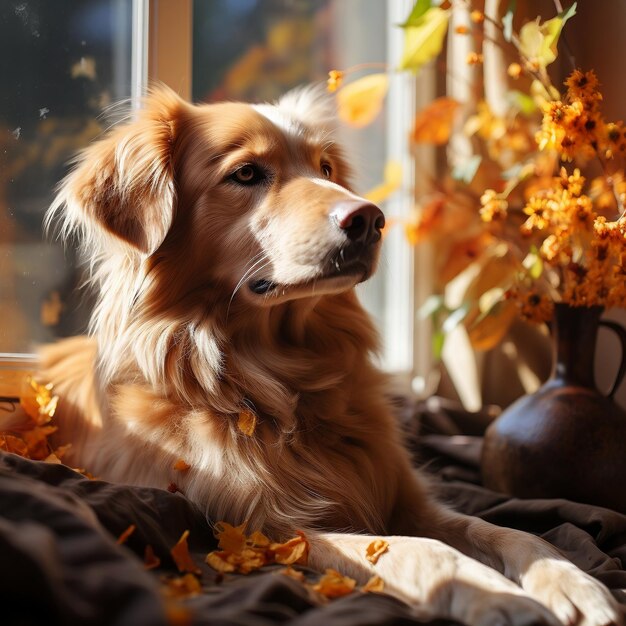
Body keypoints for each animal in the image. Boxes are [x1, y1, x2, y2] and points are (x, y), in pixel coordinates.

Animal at [40, 86, 620, 624]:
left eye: (324, 168)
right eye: (246, 174)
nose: (371, 219)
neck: (282, 385)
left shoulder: (405, 497)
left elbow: (504, 531)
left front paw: (574, 583)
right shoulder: (270, 527)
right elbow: (425, 553)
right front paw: (499, 598)